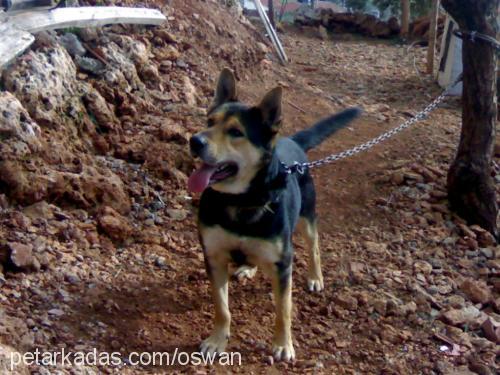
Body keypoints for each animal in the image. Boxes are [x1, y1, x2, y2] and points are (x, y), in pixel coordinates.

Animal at [188, 67, 360, 362]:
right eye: (209, 121)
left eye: (235, 132)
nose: (194, 140)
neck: (241, 200)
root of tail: (291, 140)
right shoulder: (214, 256)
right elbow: (222, 307)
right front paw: (217, 340)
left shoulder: (282, 265)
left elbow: (283, 310)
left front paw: (283, 344)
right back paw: (248, 267)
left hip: (307, 218)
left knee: (314, 247)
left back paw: (315, 277)